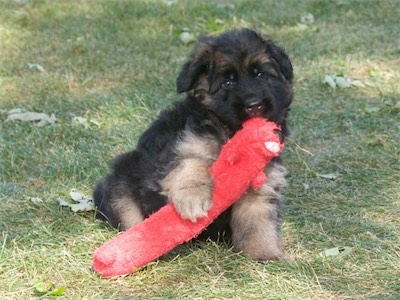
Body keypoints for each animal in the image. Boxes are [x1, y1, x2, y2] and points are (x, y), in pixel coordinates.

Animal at [94, 28, 294, 260]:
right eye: (227, 83)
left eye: (261, 74)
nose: (254, 105)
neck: (229, 135)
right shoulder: (183, 146)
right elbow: (192, 164)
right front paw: (193, 199)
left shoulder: (263, 185)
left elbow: (259, 222)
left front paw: (265, 254)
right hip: (123, 181)